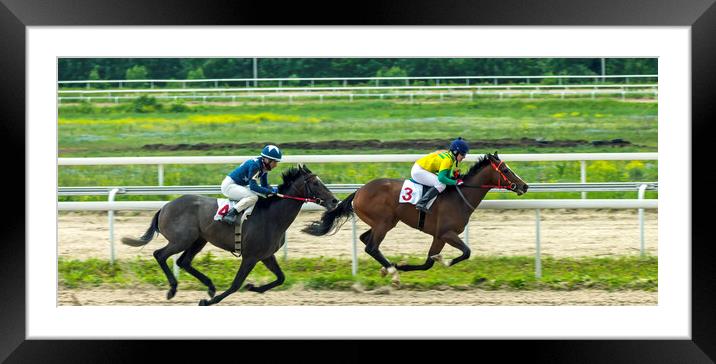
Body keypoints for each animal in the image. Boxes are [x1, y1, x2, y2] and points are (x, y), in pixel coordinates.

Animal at [121, 164, 338, 304]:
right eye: (316, 183)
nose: (335, 201)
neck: (272, 217)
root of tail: (165, 207)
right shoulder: (251, 256)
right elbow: (235, 284)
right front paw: (209, 301)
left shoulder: (266, 255)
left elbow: (281, 278)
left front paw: (253, 288)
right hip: (181, 239)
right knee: (160, 254)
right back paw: (173, 289)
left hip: (199, 240)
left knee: (183, 261)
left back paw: (209, 286)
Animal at [300, 152, 528, 286]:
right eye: (506, 170)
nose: (524, 186)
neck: (459, 197)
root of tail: (358, 191)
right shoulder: (446, 233)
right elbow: (466, 252)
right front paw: (444, 261)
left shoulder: (438, 236)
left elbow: (428, 262)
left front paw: (403, 265)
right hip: (384, 222)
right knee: (371, 247)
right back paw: (392, 272)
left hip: (383, 222)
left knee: (366, 240)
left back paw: (388, 267)